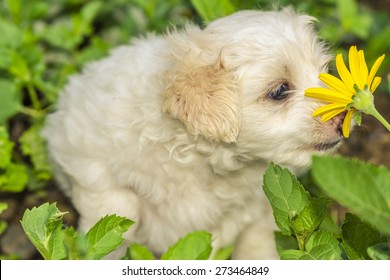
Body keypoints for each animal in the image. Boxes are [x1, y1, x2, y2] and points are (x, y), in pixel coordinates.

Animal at [42, 7, 344, 260]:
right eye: (280, 90)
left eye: (324, 73)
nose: (343, 118)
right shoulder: (88, 161)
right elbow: (117, 212)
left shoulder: (260, 204)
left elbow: (256, 243)